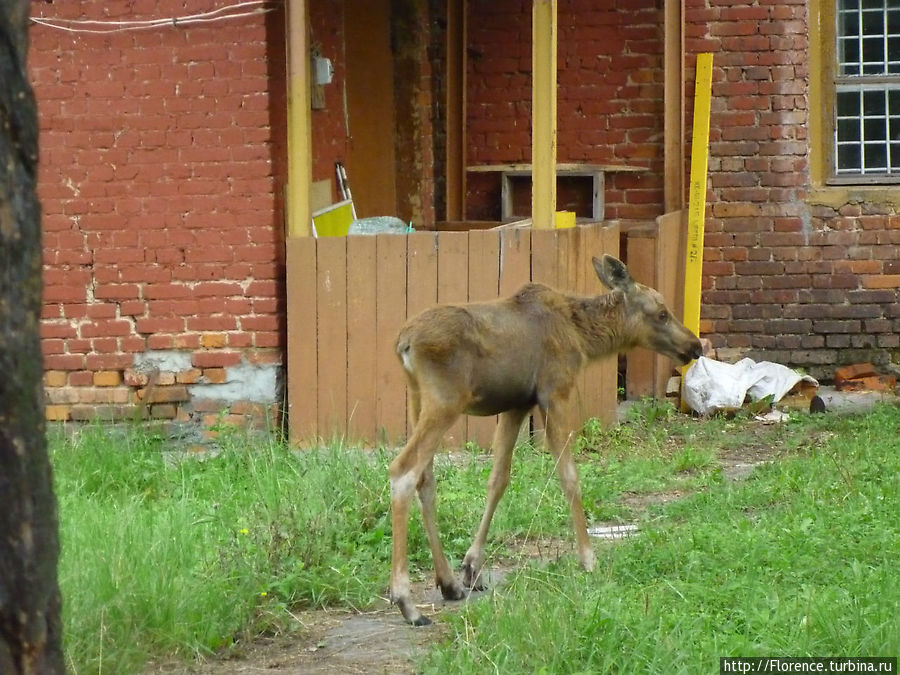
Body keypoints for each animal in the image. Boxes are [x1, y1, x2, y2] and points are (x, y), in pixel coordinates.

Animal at [386, 255, 704, 628]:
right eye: (662, 313)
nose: (695, 346)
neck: (584, 338)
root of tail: (403, 343)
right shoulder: (555, 393)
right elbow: (570, 476)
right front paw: (588, 558)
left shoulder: (517, 405)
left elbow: (498, 479)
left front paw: (471, 567)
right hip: (445, 401)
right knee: (403, 471)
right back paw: (406, 602)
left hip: (417, 398)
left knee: (426, 478)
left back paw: (447, 582)